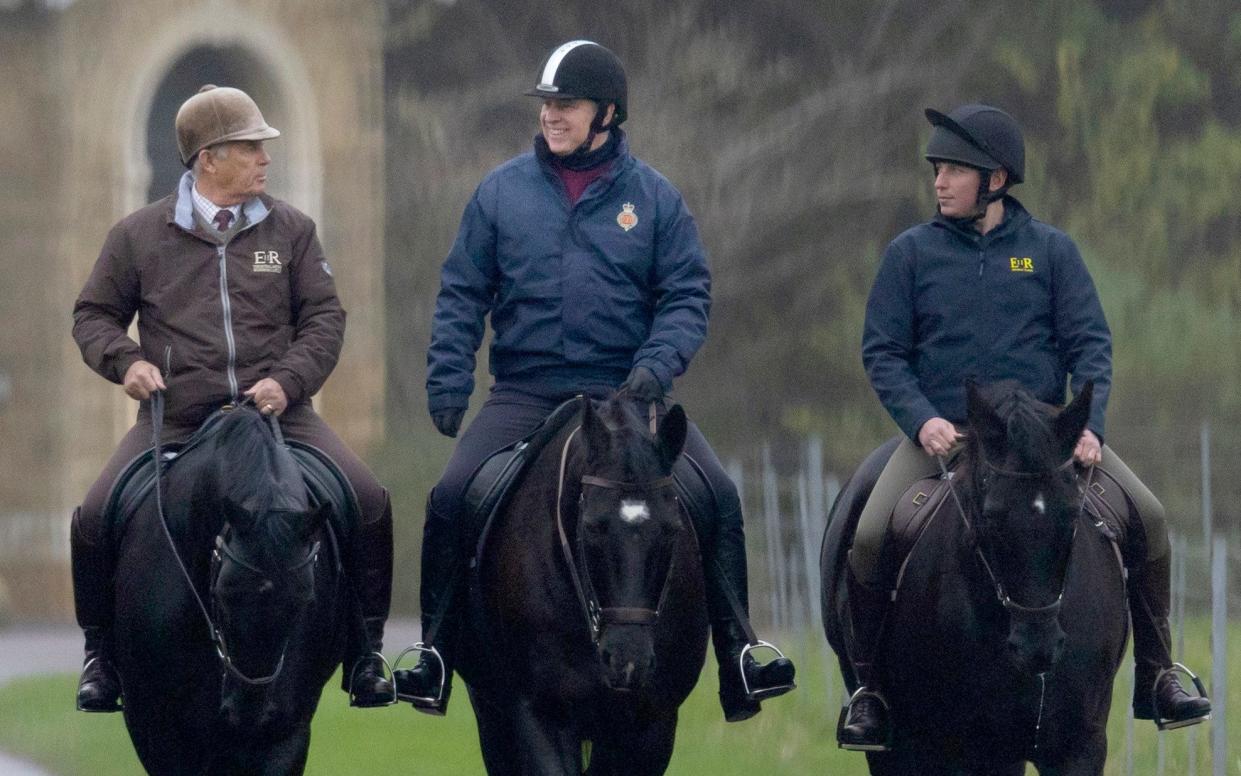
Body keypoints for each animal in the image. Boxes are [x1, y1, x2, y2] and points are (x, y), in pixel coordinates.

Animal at [456, 397, 709, 769]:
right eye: (591, 526)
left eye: (672, 529)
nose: (627, 661)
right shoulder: (543, 713)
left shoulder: (653, 725)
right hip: (492, 715)